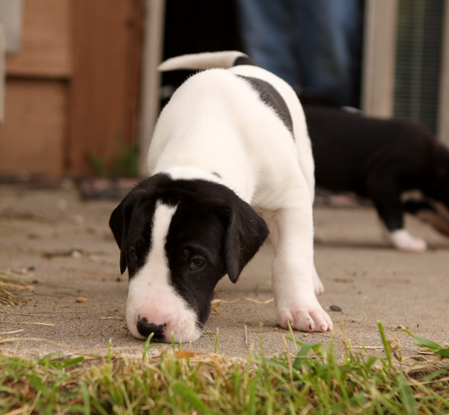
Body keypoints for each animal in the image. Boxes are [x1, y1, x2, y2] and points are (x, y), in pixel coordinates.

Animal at [110, 51, 330, 344]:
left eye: (197, 262)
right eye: (133, 253)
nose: (150, 327)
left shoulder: (291, 200)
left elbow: (291, 258)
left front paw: (300, 309)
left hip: (306, 166)